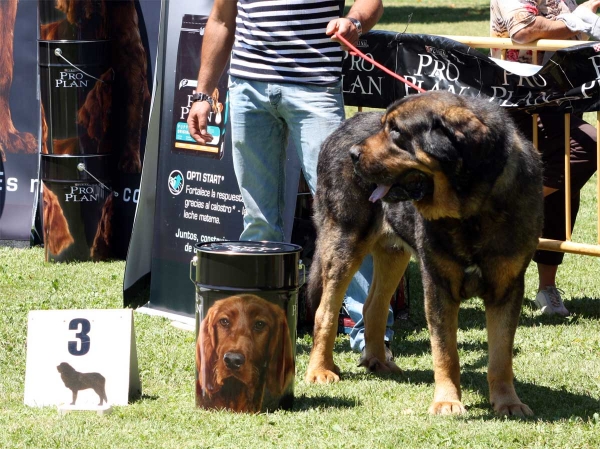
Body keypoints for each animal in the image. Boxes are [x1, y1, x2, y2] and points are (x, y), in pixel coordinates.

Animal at [304, 91, 544, 416]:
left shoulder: (507, 287)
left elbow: (501, 355)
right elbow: (445, 351)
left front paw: (508, 402)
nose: (354, 154)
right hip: (343, 241)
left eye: (396, 132)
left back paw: (379, 362)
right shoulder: (438, 283)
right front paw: (447, 401)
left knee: (373, 307)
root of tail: (339, 131)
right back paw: (320, 370)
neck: (472, 208)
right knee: (325, 311)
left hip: (393, 252)